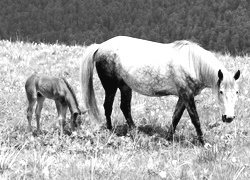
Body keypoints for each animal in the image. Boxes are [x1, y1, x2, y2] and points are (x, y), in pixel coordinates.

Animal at [80, 35, 240, 145]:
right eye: (221, 92)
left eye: (237, 92)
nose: (229, 117)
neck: (193, 63)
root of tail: (100, 46)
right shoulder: (187, 95)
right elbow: (195, 119)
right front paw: (203, 142)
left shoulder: (183, 96)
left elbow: (176, 117)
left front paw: (169, 139)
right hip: (111, 86)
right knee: (108, 106)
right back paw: (110, 130)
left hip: (125, 86)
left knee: (125, 107)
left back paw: (135, 131)